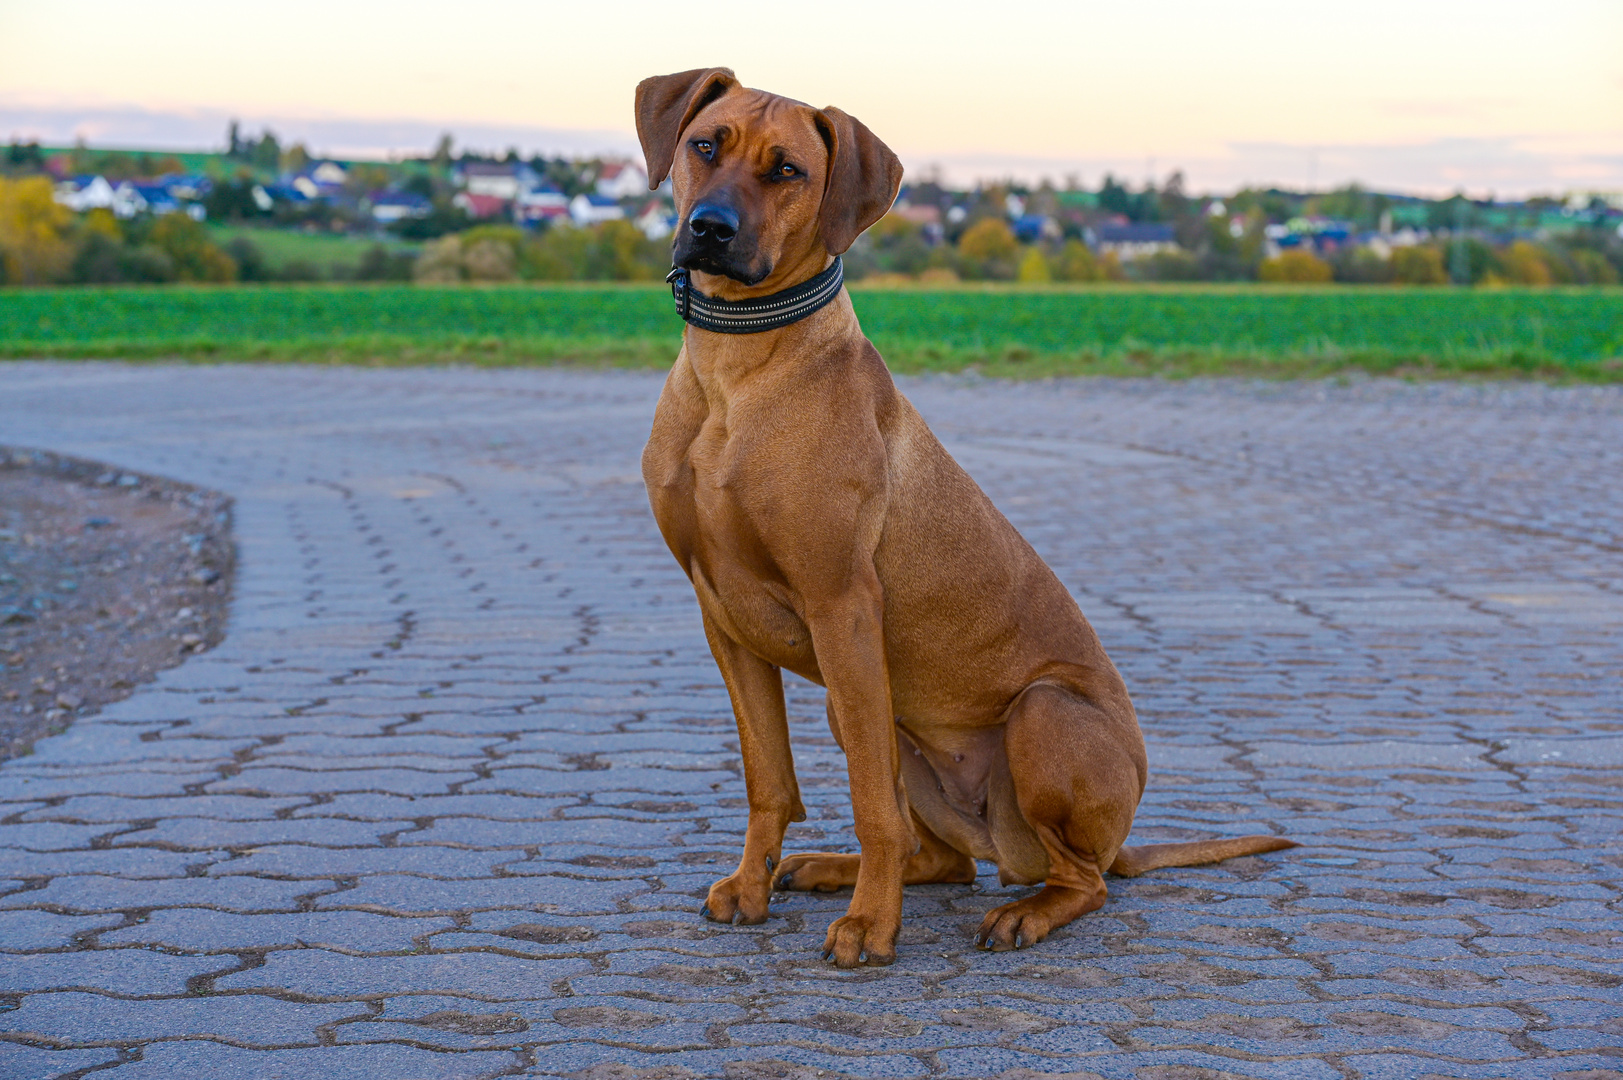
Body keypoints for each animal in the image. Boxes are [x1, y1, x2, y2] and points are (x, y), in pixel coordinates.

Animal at [632, 65, 1291, 967]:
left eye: (787, 170)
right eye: (704, 146)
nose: (710, 228)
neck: (737, 368)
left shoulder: (842, 607)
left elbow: (870, 803)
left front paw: (873, 927)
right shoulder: (722, 617)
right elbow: (768, 778)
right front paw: (750, 886)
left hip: (1038, 715)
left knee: (1077, 880)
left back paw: (1022, 913)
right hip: (871, 711)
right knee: (944, 859)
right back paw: (830, 870)